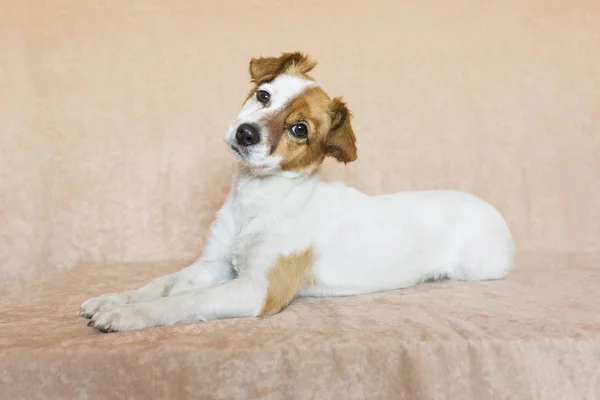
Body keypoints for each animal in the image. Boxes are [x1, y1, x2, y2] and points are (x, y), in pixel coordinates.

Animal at [78, 54, 510, 334]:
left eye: (299, 129)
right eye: (264, 95)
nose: (245, 133)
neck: (257, 199)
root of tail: (491, 210)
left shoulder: (257, 289)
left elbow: (183, 301)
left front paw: (129, 316)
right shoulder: (213, 264)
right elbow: (162, 284)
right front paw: (115, 299)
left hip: (479, 269)